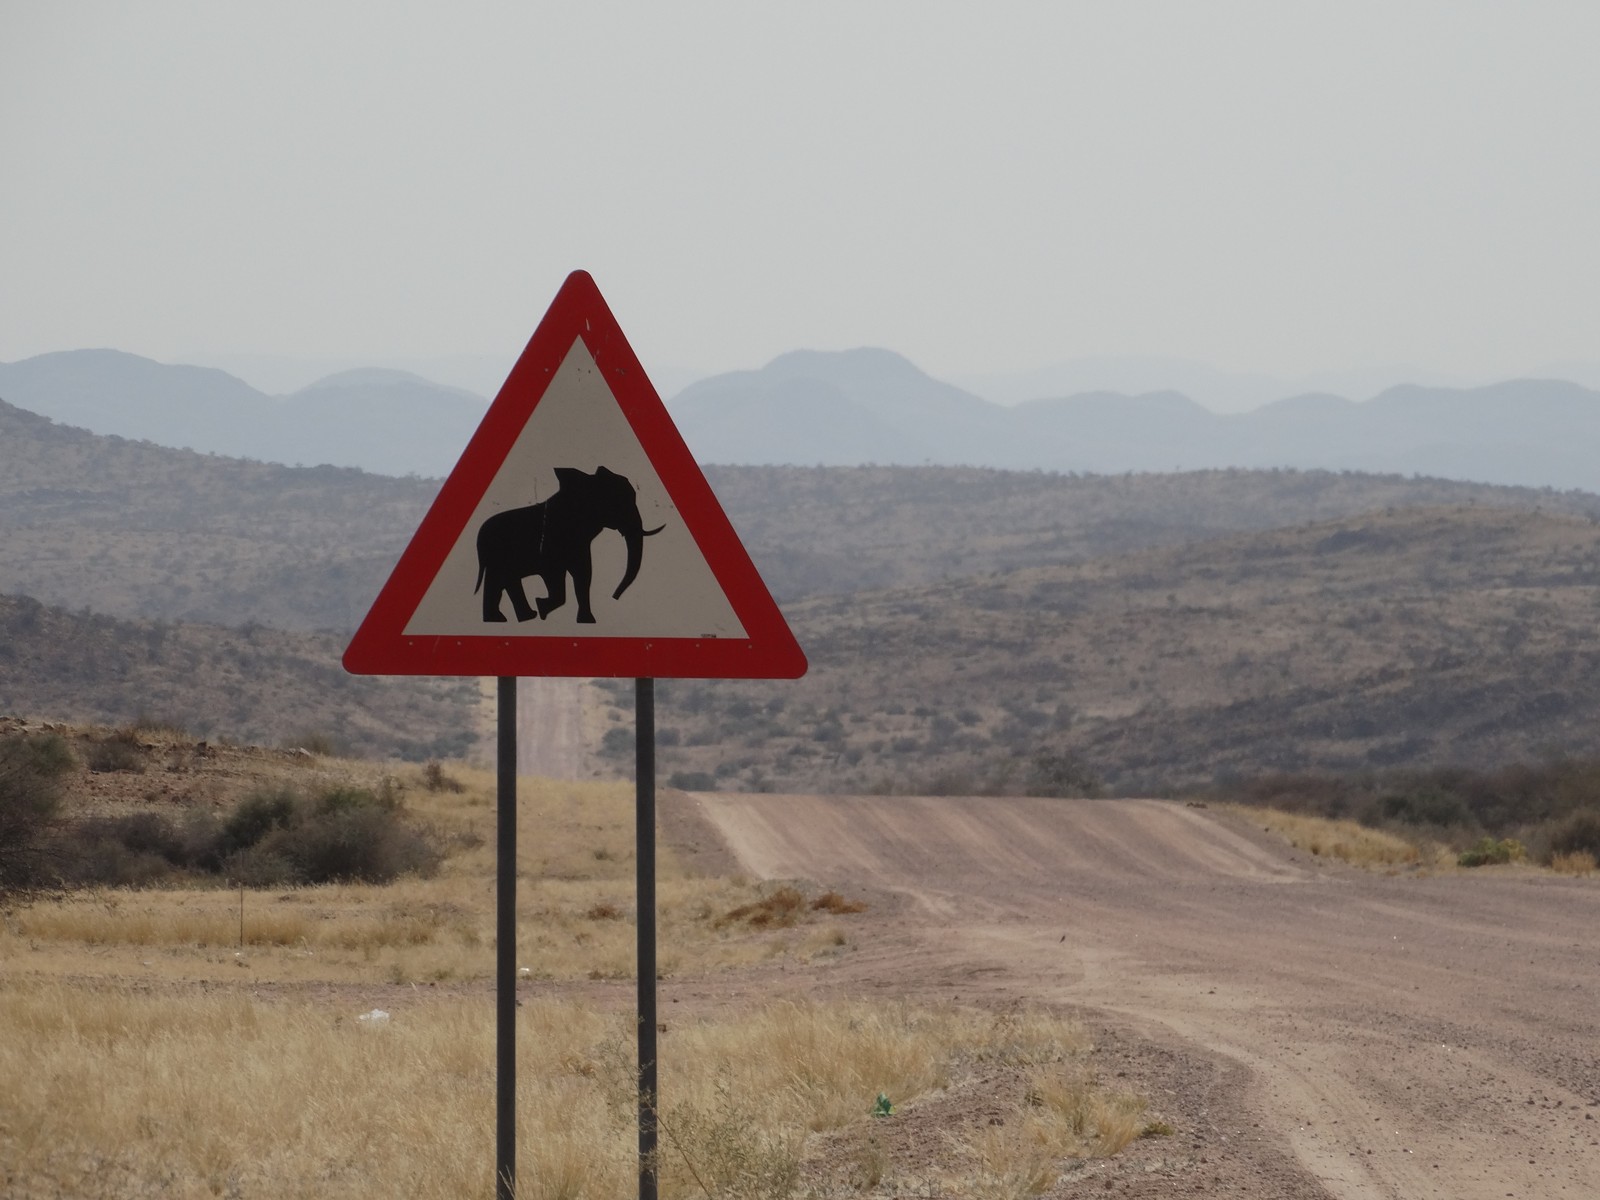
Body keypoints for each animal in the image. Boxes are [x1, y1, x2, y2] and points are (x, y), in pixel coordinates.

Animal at [473, 466, 664, 624]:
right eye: (620, 501)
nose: (615, 597)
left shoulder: (579, 545)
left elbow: (583, 575)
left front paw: (587, 622)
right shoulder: (552, 545)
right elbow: (556, 576)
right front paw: (542, 607)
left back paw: (510, 618)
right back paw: (515, 618)